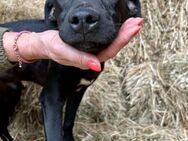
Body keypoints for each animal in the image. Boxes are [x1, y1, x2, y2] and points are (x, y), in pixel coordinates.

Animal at [0, 0, 141, 140]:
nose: (83, 18)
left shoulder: (78, 91)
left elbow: (68, 121)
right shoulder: (51, 98)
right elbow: (55, 134)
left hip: (12, 91)